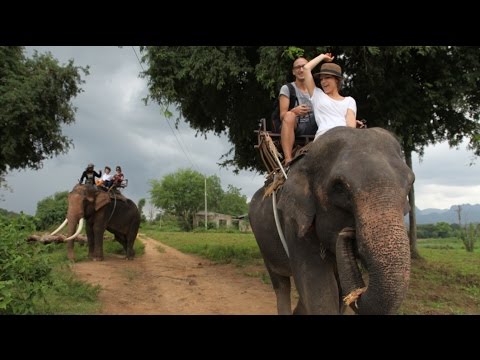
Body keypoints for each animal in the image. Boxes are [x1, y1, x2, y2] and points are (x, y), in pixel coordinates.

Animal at [249, 127, 414, 316]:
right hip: (263, 244)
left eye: (410, 184)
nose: (348, 232)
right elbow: (321, 294)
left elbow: (338, 292)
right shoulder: (295, 224)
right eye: (339, 187)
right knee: (281, 284)